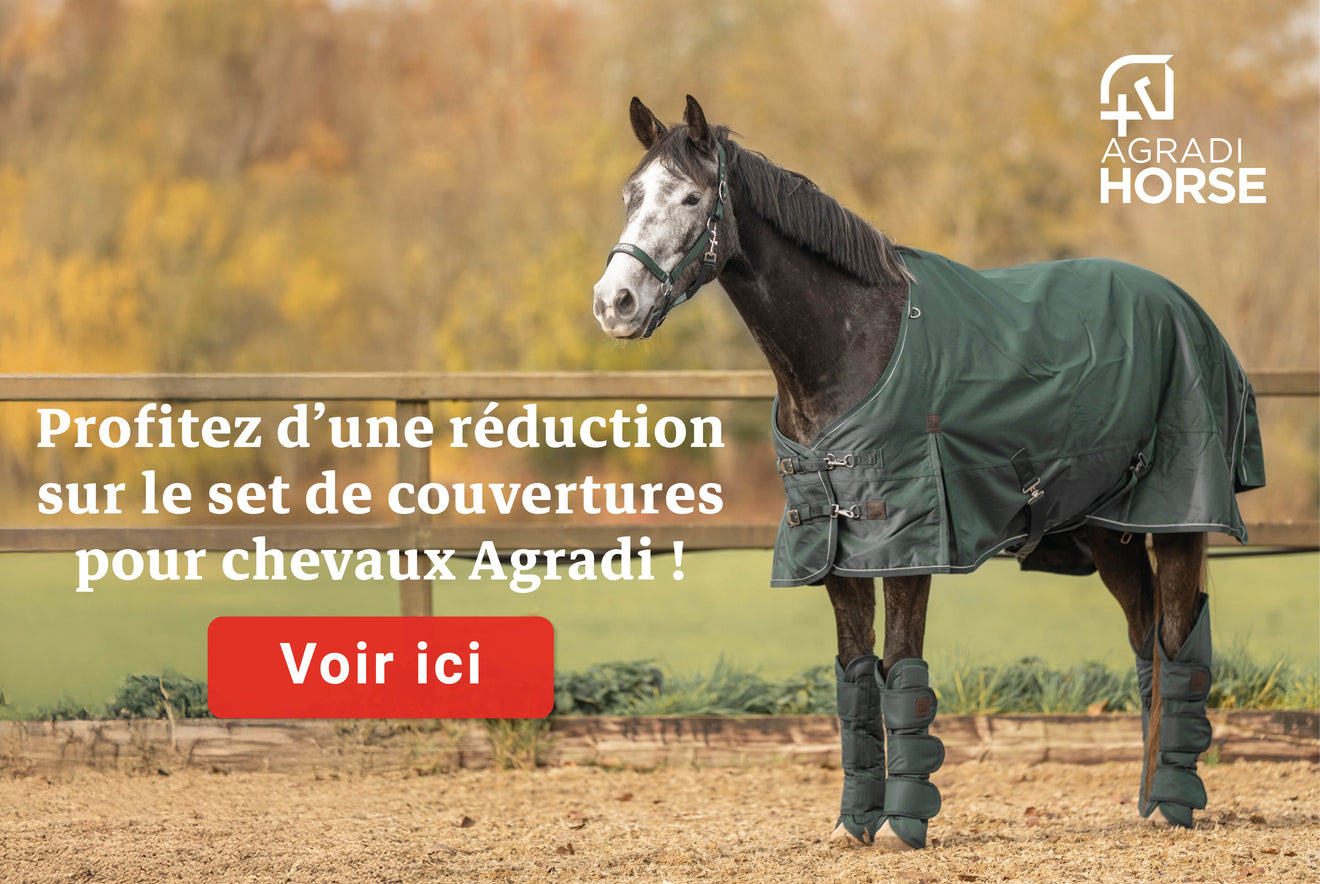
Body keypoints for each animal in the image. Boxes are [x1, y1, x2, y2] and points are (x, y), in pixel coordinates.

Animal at [592, 96, 1265, 852]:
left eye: (690, 197)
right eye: (630, 195)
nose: (613, 303)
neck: (852, 345)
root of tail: (1186, 309)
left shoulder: (908, 543)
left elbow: (901, 673)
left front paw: (902, 825)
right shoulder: (834, 549)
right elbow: (856, 680)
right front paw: (853, 824)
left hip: (1176, 517)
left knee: (1178, 643)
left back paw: (1174, 806)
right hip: (1108, 530)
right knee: (1146, 641)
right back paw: (1147, 803)